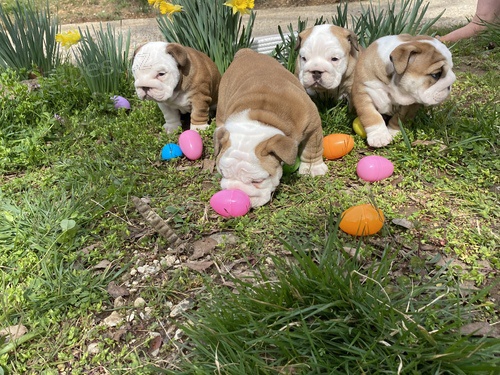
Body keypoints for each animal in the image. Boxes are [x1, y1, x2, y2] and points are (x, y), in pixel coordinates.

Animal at [215, 48, 328, 209]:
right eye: (223, 173)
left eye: (258, 181)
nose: (236, 191)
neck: (262, 116)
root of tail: (246, 52)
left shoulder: (312, 125)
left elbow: (313, 148)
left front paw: (313, 168)